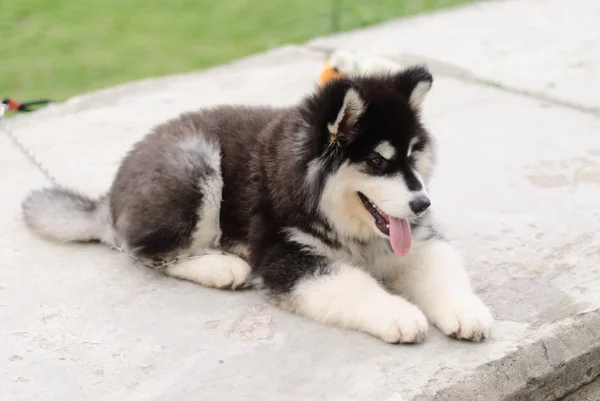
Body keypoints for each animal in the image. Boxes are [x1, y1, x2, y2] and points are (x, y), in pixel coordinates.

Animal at [22, 67, 492, 342]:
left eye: (412, 155)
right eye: (377, 160)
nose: (422, 203)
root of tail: (112, 194)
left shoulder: (418, 241)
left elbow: (442, 272)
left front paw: (465, 310)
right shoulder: (286, 255)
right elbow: (351, 284)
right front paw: (397, 313)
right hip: (193, 165)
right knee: (142, 252)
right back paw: (220, 266)